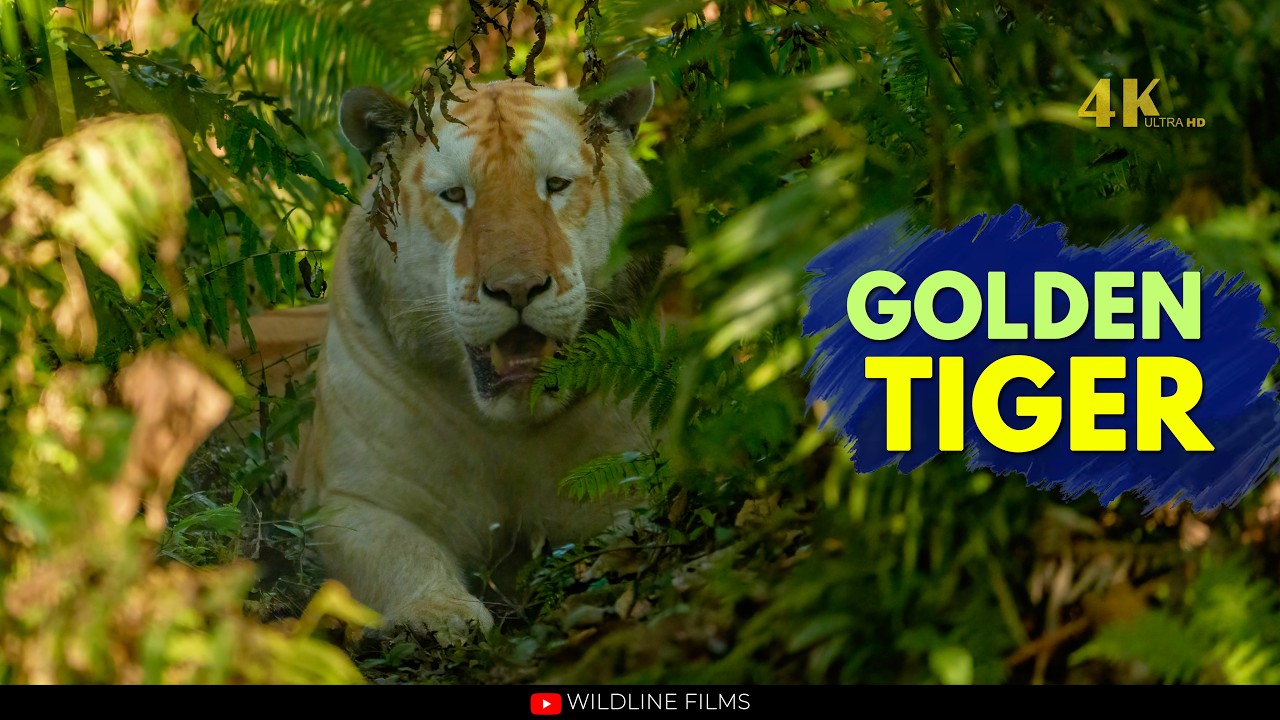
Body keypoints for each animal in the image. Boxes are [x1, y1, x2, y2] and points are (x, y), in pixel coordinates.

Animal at [289, 59, 659, 644]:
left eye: (556, 186)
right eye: (455, 196)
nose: (517, 288)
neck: (508, 431)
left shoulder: (635, 470)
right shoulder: (354, 501)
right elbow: (401, 553)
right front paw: (438, 613)